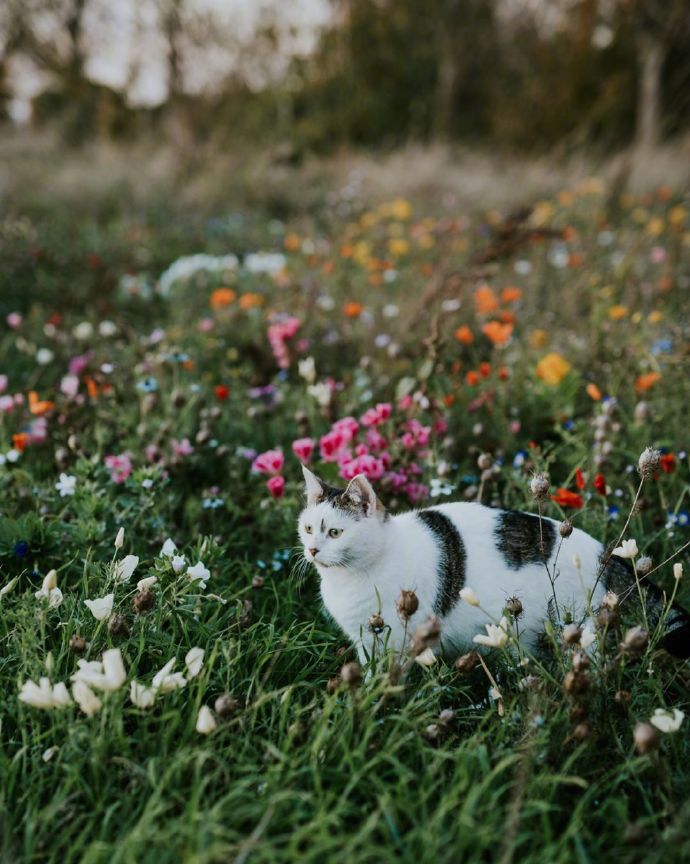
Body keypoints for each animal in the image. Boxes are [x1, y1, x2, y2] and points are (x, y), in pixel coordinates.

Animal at [296, 466, 688, 660]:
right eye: (308, 528)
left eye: (334, 532)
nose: (312, 550)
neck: (349, 580)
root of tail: (603, 554)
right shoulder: (365, 642)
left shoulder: (398, 642)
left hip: (576, 629)